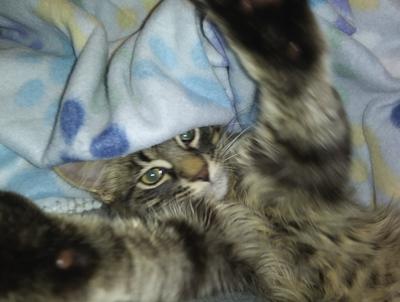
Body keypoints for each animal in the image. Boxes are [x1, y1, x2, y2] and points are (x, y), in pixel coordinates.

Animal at [3, 0, 400, 302]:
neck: (236, 199)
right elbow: (127, 255)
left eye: (188, 135)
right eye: (152, 175)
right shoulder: (208, 246)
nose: (201, 172)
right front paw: (30, 245)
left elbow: (295, 91)